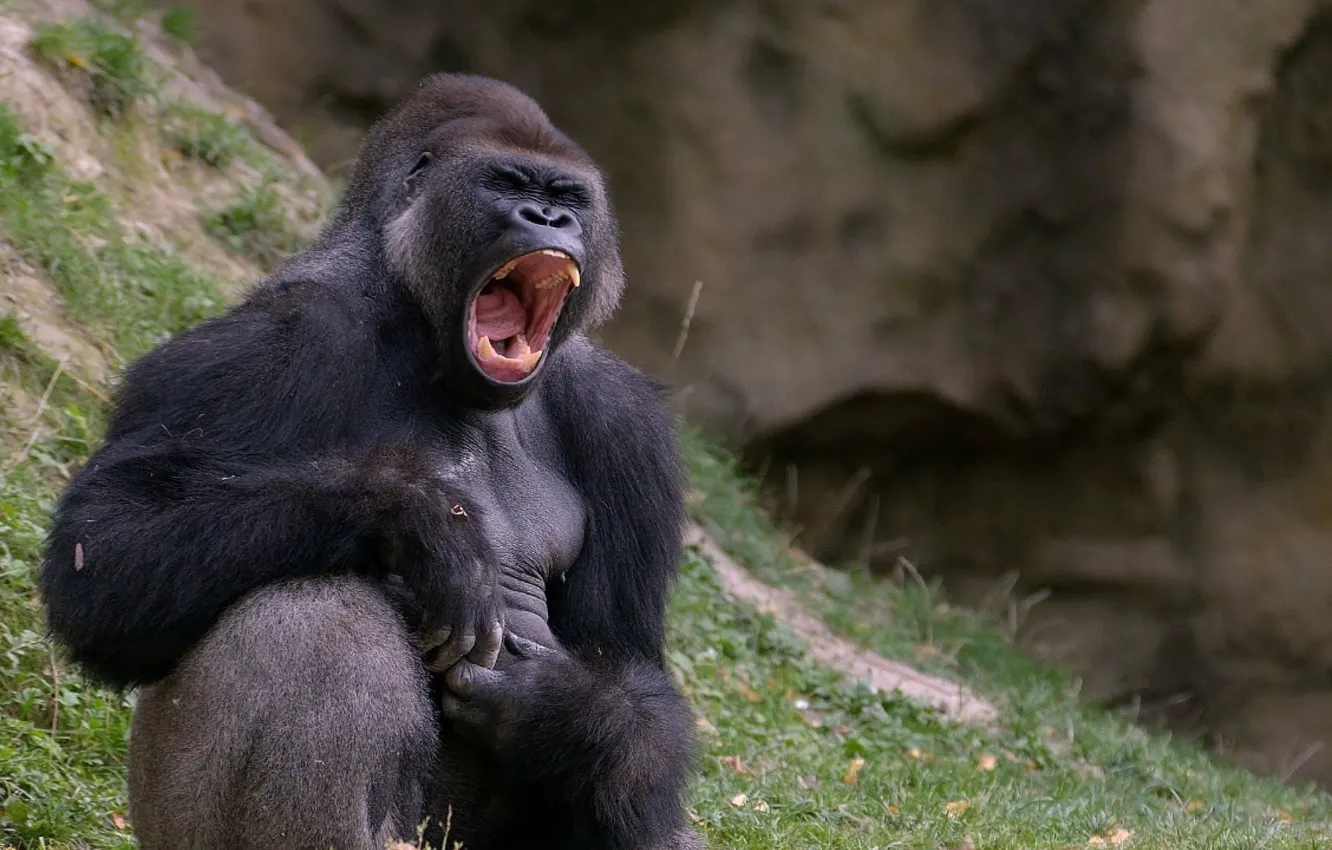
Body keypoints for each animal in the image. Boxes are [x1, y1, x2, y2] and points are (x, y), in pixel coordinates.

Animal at [39, 73, 701, 850]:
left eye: (568, 197)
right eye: (506, 183)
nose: (547, 217)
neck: (418, 321)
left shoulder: (627, 423)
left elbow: (624, 668)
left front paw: (558, 707)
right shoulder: (287, 335)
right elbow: (106, 549)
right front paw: (422, 521)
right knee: (320, 616)